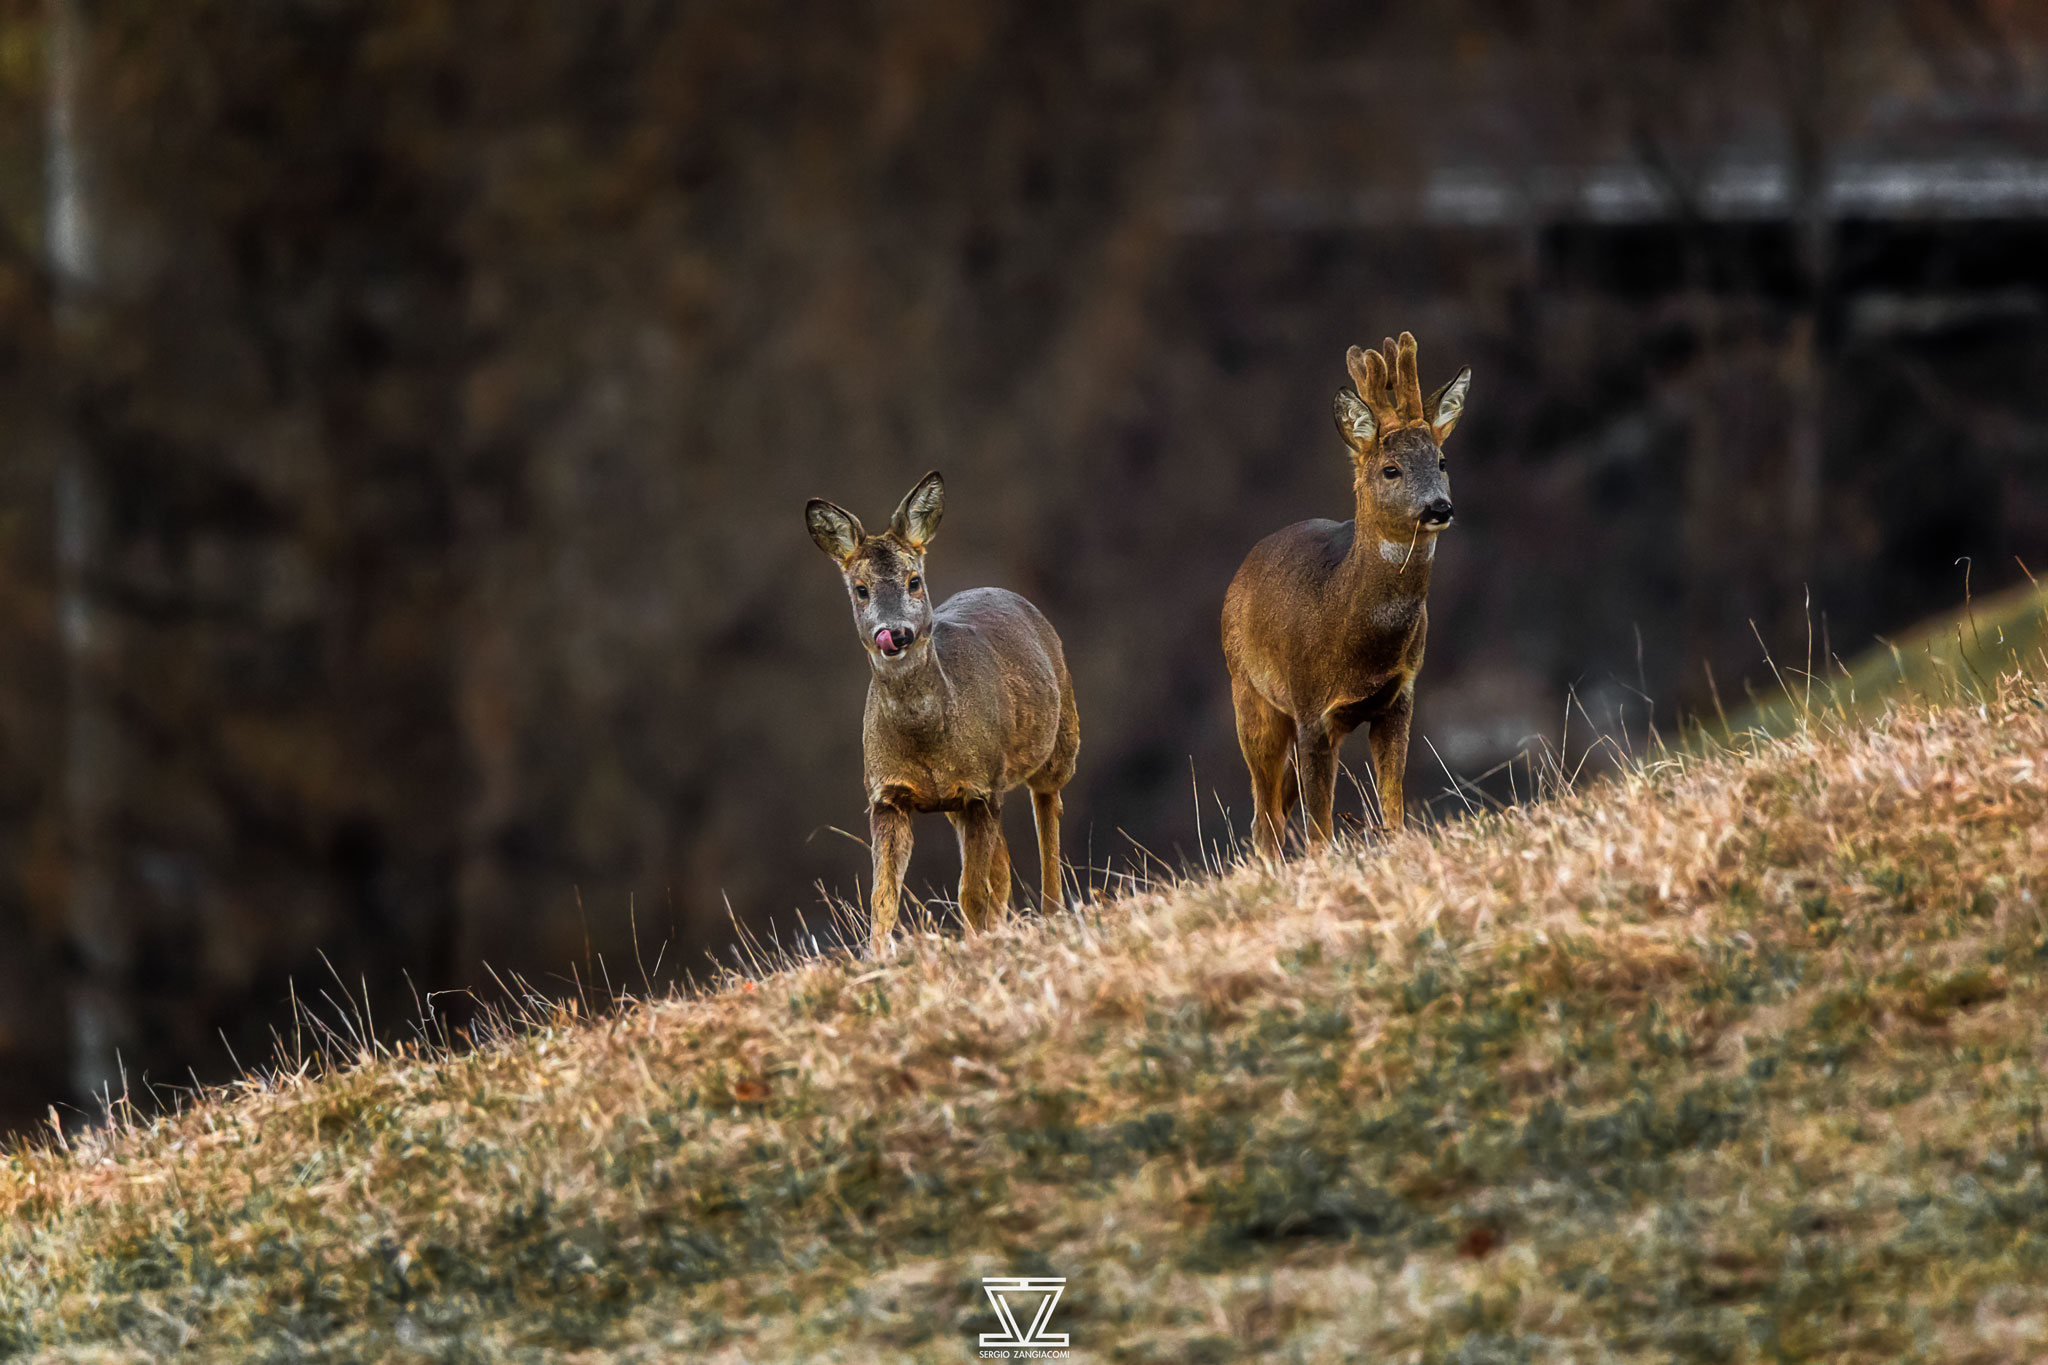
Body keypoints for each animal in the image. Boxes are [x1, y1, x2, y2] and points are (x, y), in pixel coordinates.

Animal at [806, 471, 1081, 957]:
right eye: (861, 589)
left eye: (914, 580)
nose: (894, 633)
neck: (927, 738)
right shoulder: (886, 794)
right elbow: (882, 898)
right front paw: (877, 958)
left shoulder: (981, 789)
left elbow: (969, 891)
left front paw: (976, 943)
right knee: (1003, 865)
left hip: (1060, 740)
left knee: (1047, 811)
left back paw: (1052, 912)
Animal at [1220, 331, 1470, 861]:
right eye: (1391, 469)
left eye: (1441, 461)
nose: (1439, 508)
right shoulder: (1311, 707)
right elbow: (1319, 830)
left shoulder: (1398, 697)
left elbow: (1393, 807)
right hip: (1249, 693)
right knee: (1263, 815)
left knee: (1275, 806)